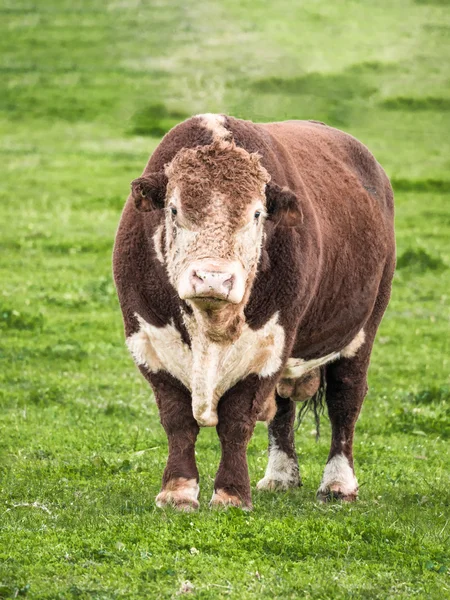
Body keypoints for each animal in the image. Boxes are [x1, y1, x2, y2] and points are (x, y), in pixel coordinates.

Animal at [112, 113, 394, 510]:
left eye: (257, 213)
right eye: (174, 209)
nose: (213, 278)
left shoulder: (269, 342)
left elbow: (237, 419)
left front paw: (231, 494)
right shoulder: (149, 340)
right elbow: (177, 418)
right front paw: (177, 491)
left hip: (362, 328)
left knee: (345, 400)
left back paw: (338, 484)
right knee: (282, 409)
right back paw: (280, 477)